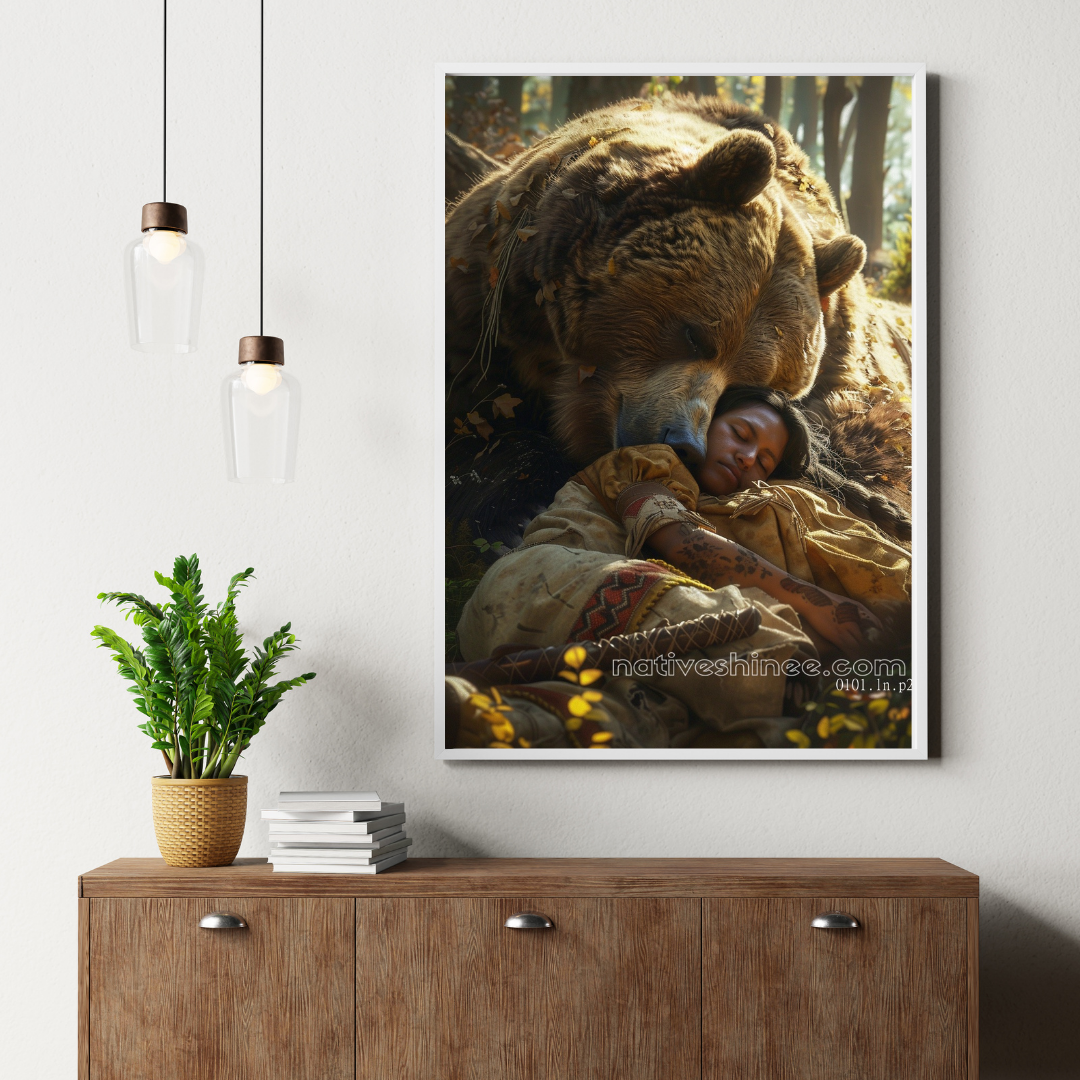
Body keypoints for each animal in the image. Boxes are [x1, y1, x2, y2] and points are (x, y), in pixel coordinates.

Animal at [445, 95, 912, 553]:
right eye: (695, 335)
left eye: (749, 381)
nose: (684, 443)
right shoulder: (488, 301)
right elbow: (480, 414)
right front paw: (512, 512)